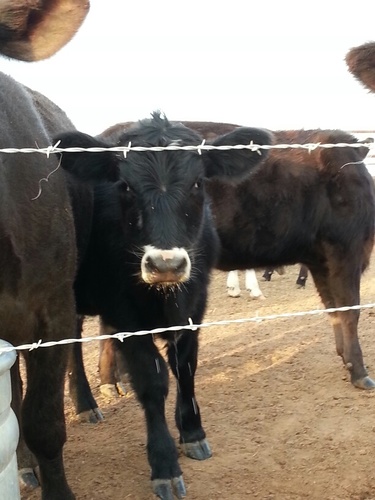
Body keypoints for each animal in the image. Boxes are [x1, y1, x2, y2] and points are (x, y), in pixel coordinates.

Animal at [55, 113, 274, 500]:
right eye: (124, 186)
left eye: (198, 182)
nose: (165, 264)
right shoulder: (126, 314)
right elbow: (153, 379)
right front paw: (164, 463)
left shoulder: (195, 306)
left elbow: (185, 367)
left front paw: (193, 431)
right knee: (72, 342)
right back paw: (85, 403)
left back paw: (111, 381)